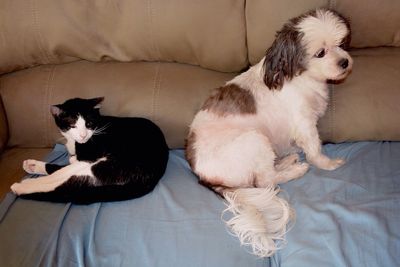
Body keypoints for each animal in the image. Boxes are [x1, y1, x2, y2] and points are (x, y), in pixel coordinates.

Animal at [9, 98, 169, 205]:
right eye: (72, 125)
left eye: (89, 124)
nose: (83, 135)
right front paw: (35, 165)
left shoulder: (90, 157)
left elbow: (61, 172)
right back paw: (32, 166)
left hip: (110, 165)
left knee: (65, 182)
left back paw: (22, 186)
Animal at [186, 9, 352, 258]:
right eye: (320, 53)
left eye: (341, 43)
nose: (344, 62)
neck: (299, 76)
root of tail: (201, 174)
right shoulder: (304, 122)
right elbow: (314, 149)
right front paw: (327, 163)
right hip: (255, 140)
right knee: (265, 181)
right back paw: (295, 170)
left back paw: (286, 161)